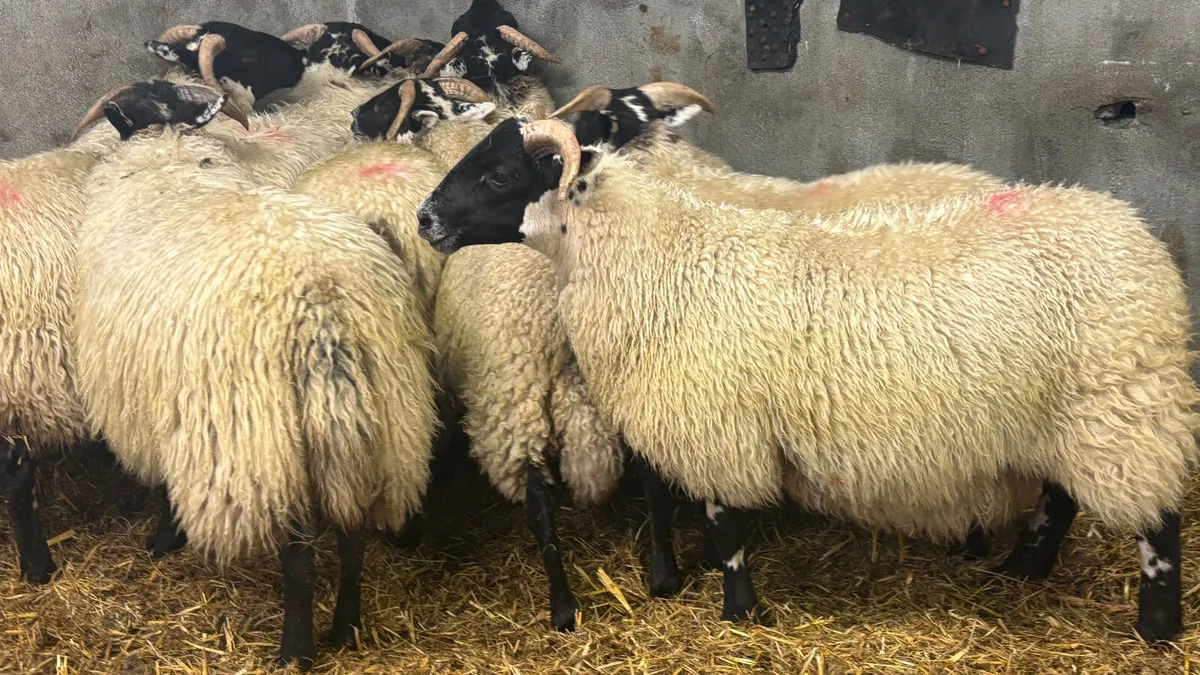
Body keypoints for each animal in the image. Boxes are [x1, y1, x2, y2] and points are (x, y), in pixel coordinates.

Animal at [71, 81, 436, 668]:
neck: (167, 158)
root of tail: (321, 305)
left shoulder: (159, 397)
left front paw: (163, 539)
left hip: (265, 442)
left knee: (300, 559)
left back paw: (296, 651)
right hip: (384, 420)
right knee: (352, 535)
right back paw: (347, 628)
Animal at [416, 117, 1200, 643]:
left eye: (497, 175)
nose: (425, 218)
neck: (651, 251)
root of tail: (1134, 231)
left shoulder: (715, 427)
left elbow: (725, 526)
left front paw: (739, 613)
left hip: (1122, 407)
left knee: (1157, 521)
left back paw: (1156, 624)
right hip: (1075, 418)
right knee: (1062, 499)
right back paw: (1022, 569)